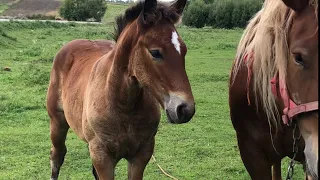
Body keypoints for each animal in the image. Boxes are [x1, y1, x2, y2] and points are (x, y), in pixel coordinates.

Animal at [46, 0, 194, 179]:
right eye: (155, 52)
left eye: (184, 50)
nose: (185, 109)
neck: (123, 104)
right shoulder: (102, 157)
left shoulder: (142, 154)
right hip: (57, 122)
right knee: (57, 156)